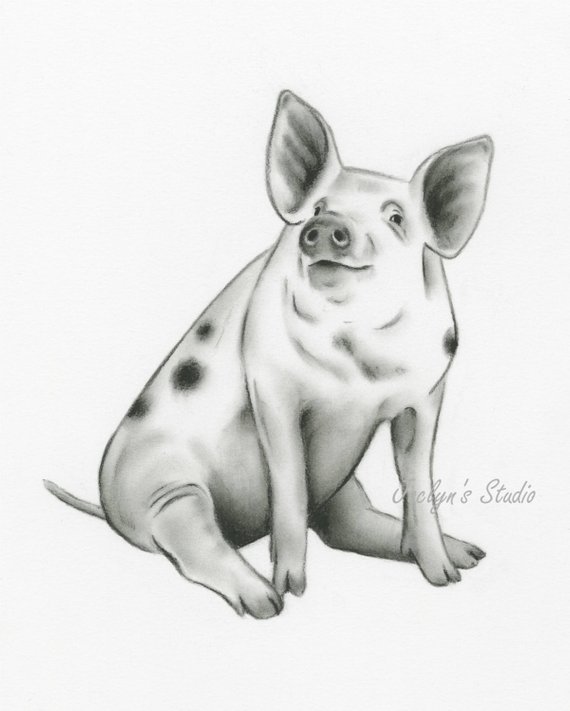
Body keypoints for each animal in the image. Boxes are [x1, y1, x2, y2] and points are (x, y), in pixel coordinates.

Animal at [45, 90, 493, 619]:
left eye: (396, 218)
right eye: (319, 205)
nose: (325, 225)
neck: (359, 363)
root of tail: (109, 506)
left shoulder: (426, 394)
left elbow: (418, 478)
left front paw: (445, 579)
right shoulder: (271, 386)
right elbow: (290, 485)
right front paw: (292, 590)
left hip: (341, 487)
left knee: (348, 524)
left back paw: (469, 554)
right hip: (166, 487)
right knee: (193, 540)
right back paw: (264, 601)